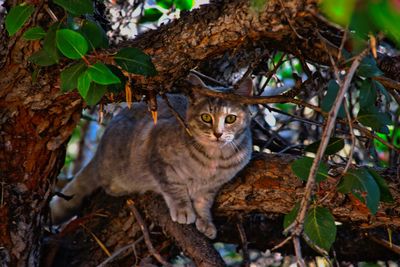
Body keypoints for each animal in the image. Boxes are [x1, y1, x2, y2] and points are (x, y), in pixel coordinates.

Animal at [50, 74, 253, 240]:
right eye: (206, 117)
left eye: (230, 119)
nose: (218, 134)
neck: (213, 161)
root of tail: (99, 151)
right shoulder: (158, 158)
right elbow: (173, 188)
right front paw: (182, 209)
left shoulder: (212, 187)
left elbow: (203, 202)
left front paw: (205, 221)